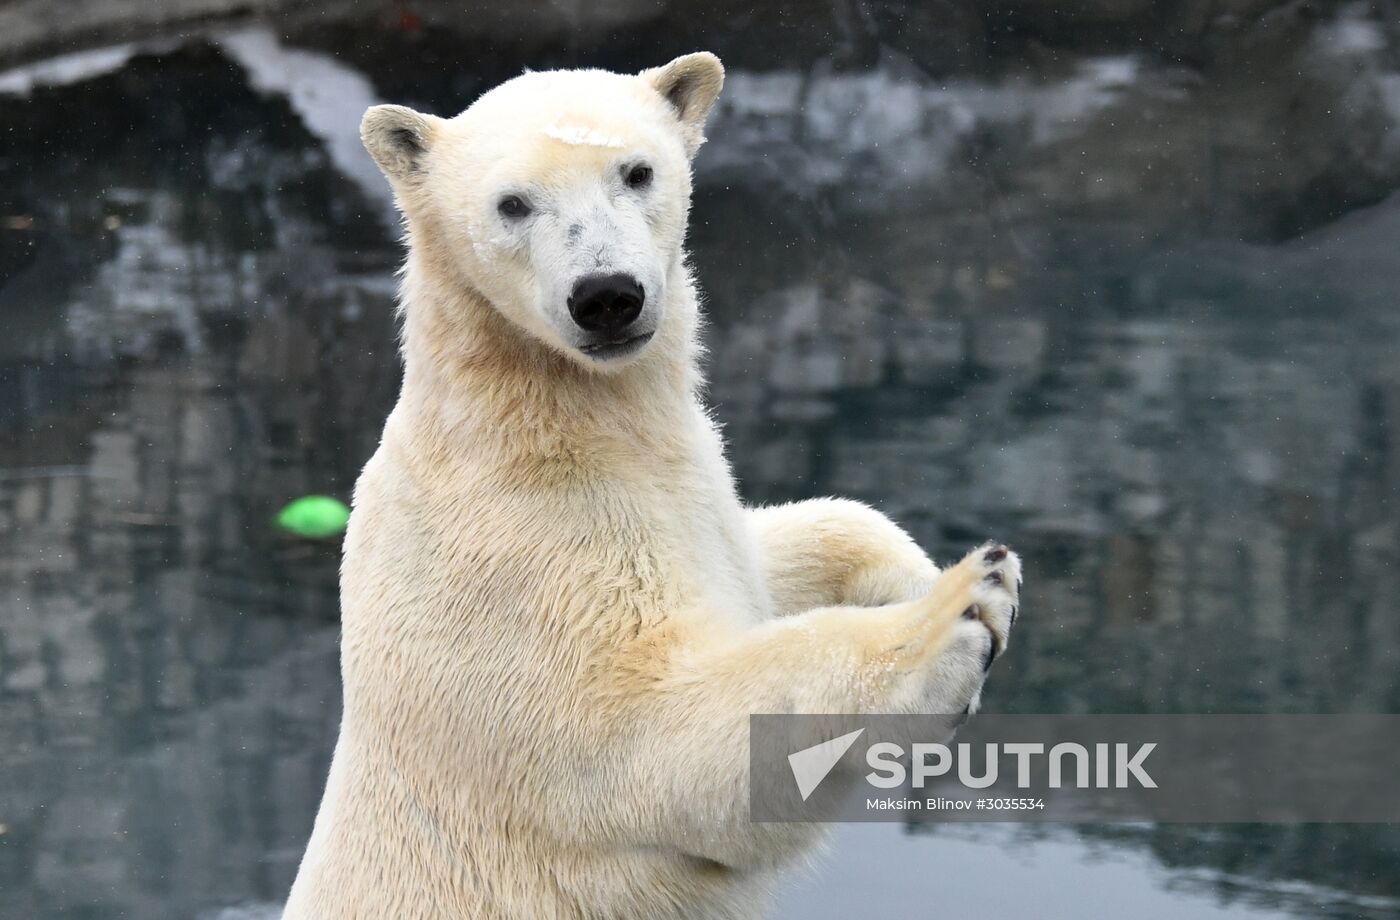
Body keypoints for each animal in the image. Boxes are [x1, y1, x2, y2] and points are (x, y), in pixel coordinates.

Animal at [282, 52, 1021, 920]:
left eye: (636, 171)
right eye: (512, 203)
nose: (607, 295)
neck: (550, 423)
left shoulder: (679, 494)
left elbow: (763, 554)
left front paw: (916, 572)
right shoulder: (516, 574)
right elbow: (655, 739)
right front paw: (963, 606)